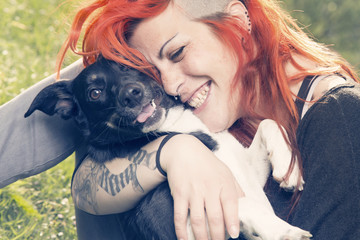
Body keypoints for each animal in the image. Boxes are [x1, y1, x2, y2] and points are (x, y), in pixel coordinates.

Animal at [26, 56, 312, 240]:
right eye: (95, 93)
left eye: (126, 66)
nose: (131, 93)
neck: (175, 127)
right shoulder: (194, 220)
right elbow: (239, 202)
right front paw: (285, 231)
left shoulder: (249, 172)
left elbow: (269, 123)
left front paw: (288, 168)